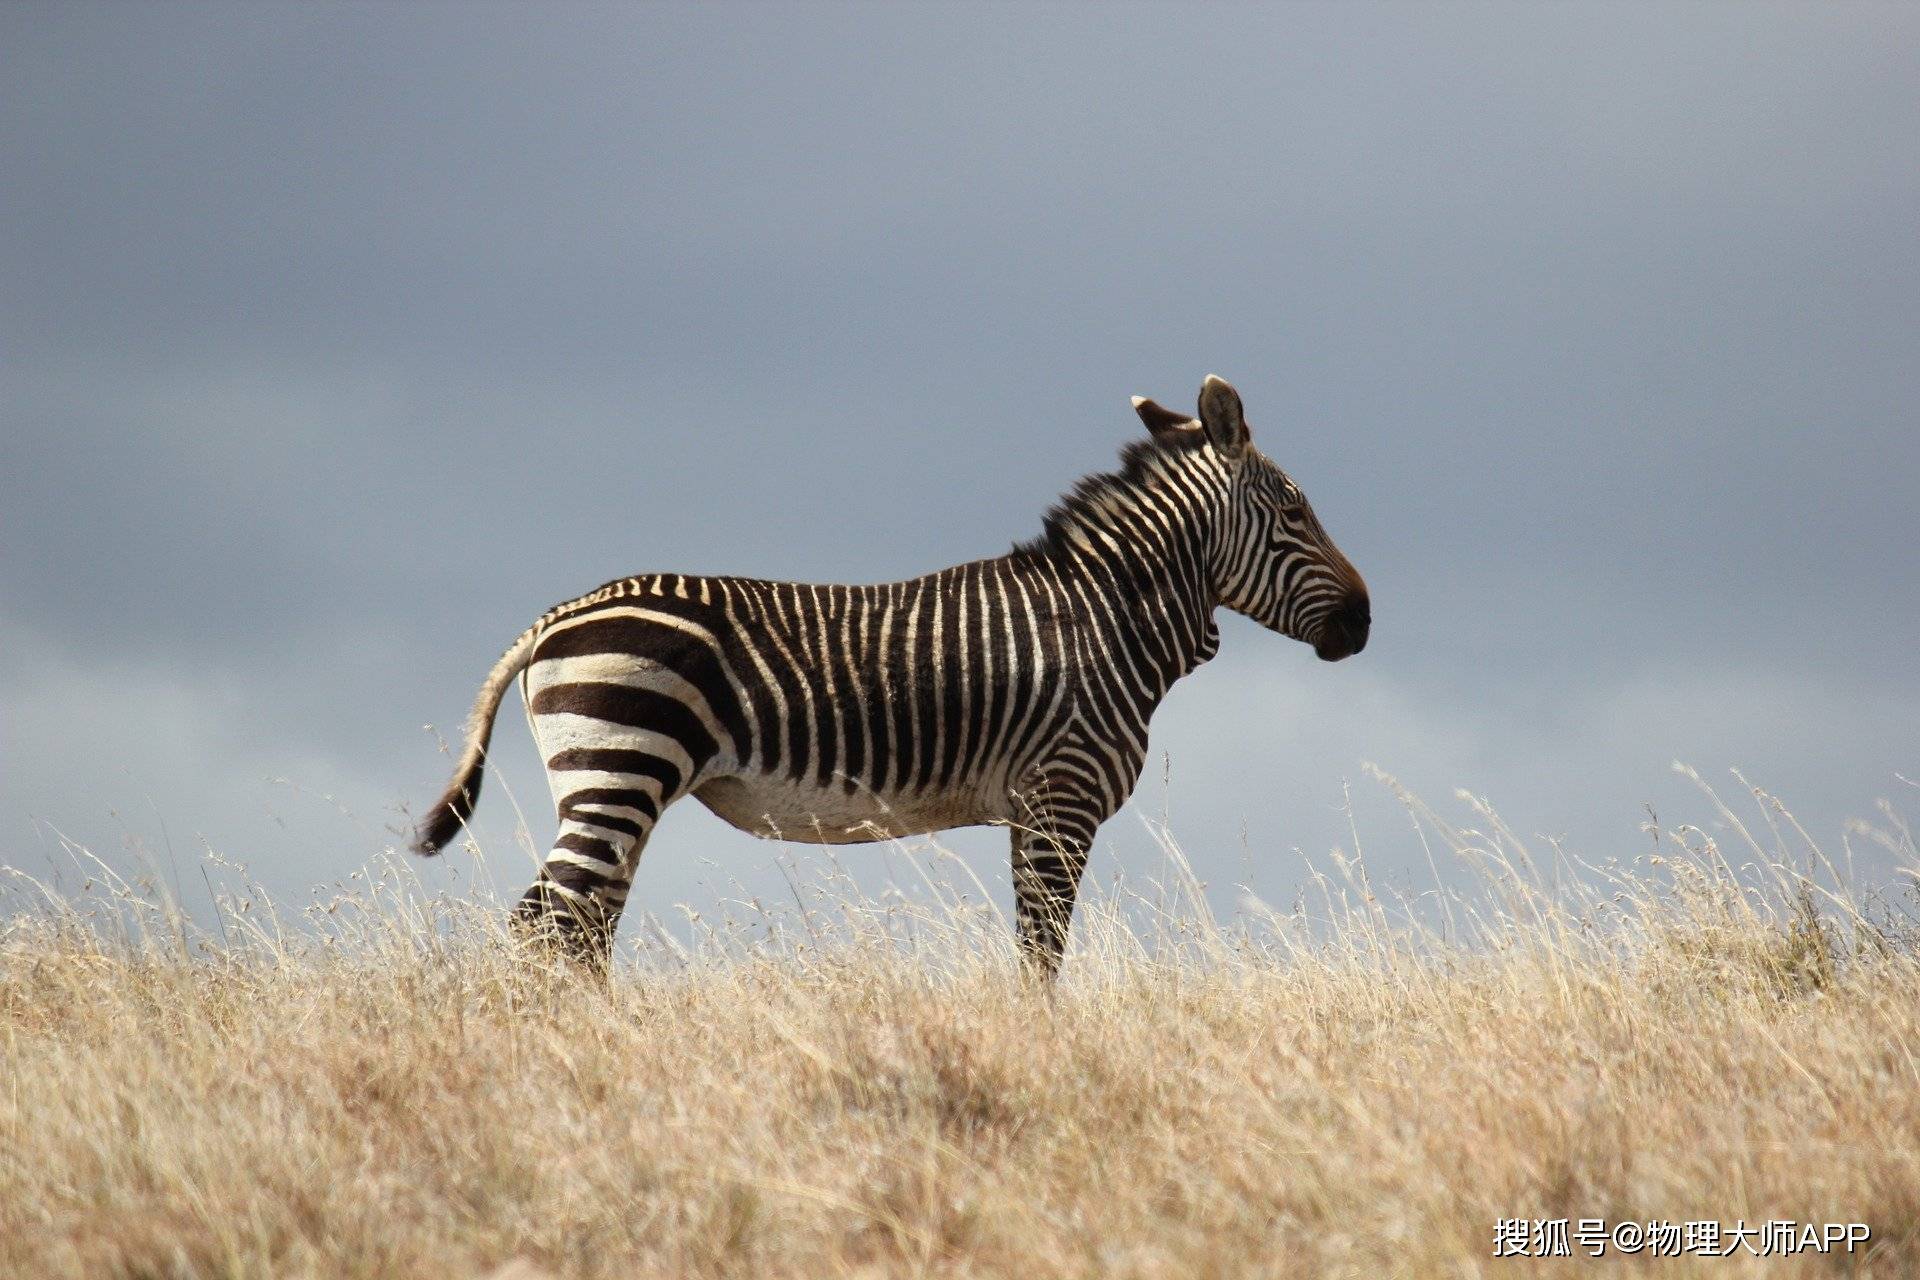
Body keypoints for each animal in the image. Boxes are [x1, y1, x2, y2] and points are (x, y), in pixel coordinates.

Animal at [408, 376, 1367, 974]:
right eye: (1295, 511)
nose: (1363, 622)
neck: (1106, 618)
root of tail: (554, 619)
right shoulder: (1061, 798)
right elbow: (1043, 948)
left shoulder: (1032, 809)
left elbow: (1034, 945)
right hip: (622, 765)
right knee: (549, 922)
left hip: (614, 783)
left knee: (580, 925)